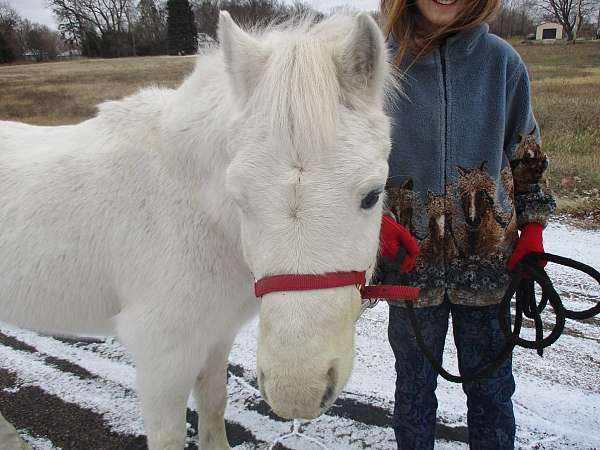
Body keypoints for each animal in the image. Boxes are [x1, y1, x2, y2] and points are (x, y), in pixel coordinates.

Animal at [0, 11, 394, 450]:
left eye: (372, 195)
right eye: (239, 198)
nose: (297, 390)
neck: (194, 209)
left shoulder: (216, 336)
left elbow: (214, 403)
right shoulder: (161, 358)